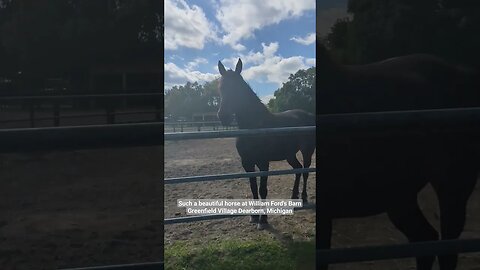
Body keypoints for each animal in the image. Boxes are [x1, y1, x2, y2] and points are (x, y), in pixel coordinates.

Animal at [217, 59, 316, 230]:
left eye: (238, 88)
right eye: (221, 87)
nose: (223, 116)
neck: (254, 127)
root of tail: (308, 115)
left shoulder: (263, 163)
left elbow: (262, 190)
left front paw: (263, 220)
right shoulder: (247, 163)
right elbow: (253, 188)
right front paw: (254, 216)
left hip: (307, 151)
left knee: (305, 171)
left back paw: (303, 198)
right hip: (290, 154)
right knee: (297, 170)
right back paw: (293, 197)